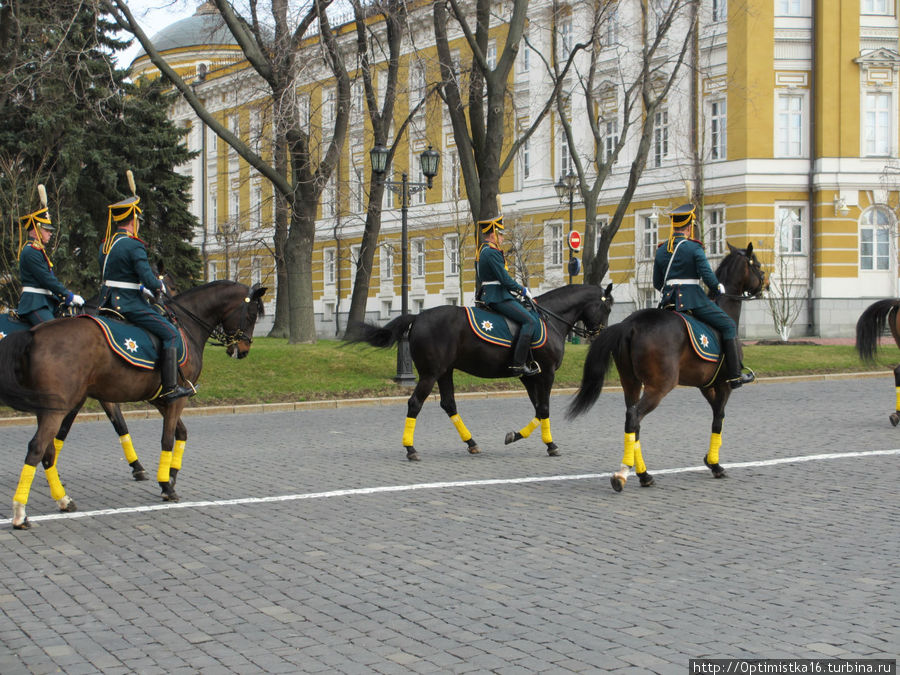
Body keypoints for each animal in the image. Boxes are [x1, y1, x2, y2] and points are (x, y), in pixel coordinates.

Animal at [0, 280, 266, 528]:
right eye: (252, 314)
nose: (243, 349)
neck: (184, 325)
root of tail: (35, 333)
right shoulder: (176, 398)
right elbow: (167, 438)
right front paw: (166, 485)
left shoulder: (160, 399)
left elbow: (179, 433)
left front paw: (170, 474)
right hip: (56, 408)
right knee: (37, 448)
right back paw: (20, 512)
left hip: (49, 409)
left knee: (46, 450)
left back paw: (63, 499)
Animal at [348, 282, 616, 462]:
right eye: (607, 308)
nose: (600, 333)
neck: (549, 320)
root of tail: (419, 315)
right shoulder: (546, 373)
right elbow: (543, 409)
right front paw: (549, 444)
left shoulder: (529, 376)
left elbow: (538, 410)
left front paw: (517, 435)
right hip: (430, 374)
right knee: (415, 403)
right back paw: (411, 449)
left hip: (445, 372)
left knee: (449, 404)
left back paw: (471, 443)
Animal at [568, 243, 764, 492]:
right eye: (757, 265)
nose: (765, 285)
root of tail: (630, 325)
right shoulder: (724, 385)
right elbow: (718, 419)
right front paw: (715, 464)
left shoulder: (706, 386)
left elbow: (715, 415)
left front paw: (709, 461)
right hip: (658, 387)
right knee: (635, 417)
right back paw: (624, 473)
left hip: (631, 384)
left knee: (632, 421)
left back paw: (642, 474)